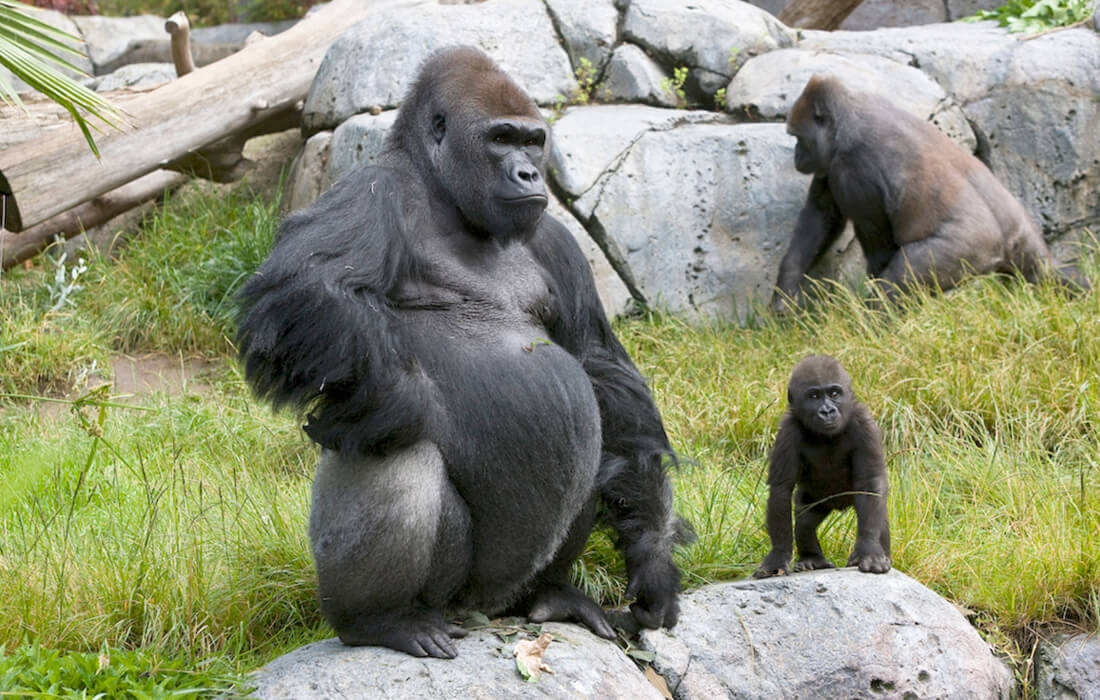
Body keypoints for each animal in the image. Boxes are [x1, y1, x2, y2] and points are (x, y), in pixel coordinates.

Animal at [236, 46, 690, 660]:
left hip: (507, 589)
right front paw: (404, 400)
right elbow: (298, 295)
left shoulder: (554, 239)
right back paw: (380, 620)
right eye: (500, 139)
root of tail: (486, 609)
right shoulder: (371, 189)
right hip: (444, 594)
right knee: (398, 453)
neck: (446, 196)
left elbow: (600, 369)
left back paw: (553, 595)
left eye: (532, 141)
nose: (528, 173)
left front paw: (653, 558)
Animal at [752, 354, 888, 581]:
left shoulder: (864, 422)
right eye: (814, 396)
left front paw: (869, 549)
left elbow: (870, 483)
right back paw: (812, 559)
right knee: (805, 521)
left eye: (834, 393)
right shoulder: (788, 431)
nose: (827, 411)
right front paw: (778, 556)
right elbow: (781, 490)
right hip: (817, 501)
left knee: (879, 518)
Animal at [774, 73, 1091, 312]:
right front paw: (786, 291)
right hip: (1022, 239)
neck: (848, 114)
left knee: (901, 280)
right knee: (1042, 273)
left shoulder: (852, 169)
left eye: (798, 137)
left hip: (969, 251)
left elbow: (878, 249)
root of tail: (1009, 236)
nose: (797, 156)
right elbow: (822, 214)